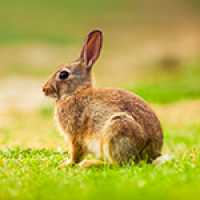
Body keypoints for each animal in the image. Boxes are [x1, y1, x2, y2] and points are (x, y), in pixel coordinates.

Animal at [41, 28, 162, 168]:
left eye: (63, 74)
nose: (44, 89)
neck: (75, 92)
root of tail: (151, 155)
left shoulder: (76, 136)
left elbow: (76, 154)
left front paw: (65, 165)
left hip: (118, 129)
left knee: (121, 164)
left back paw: (90, 164)